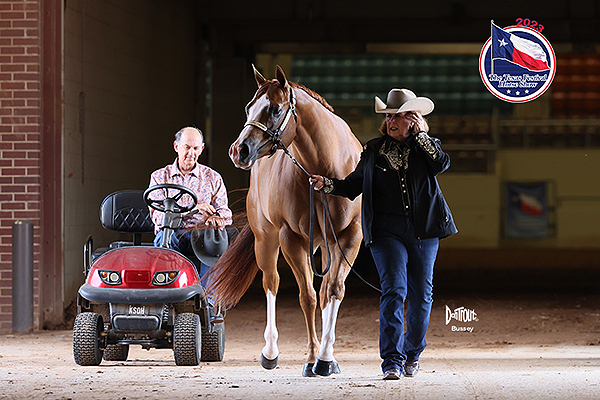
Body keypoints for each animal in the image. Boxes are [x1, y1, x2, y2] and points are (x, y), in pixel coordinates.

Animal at [209, 65, 364, 376]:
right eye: (249, 107)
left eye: (275, 108)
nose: (238, 150)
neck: (326, 170)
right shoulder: (292, 238)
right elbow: (307, 297)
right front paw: (313, 358)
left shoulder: (349, 236)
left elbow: (333, 291)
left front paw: (327, 358)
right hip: (266, 239)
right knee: (272, 282)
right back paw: (270, 352)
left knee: (323, 289)